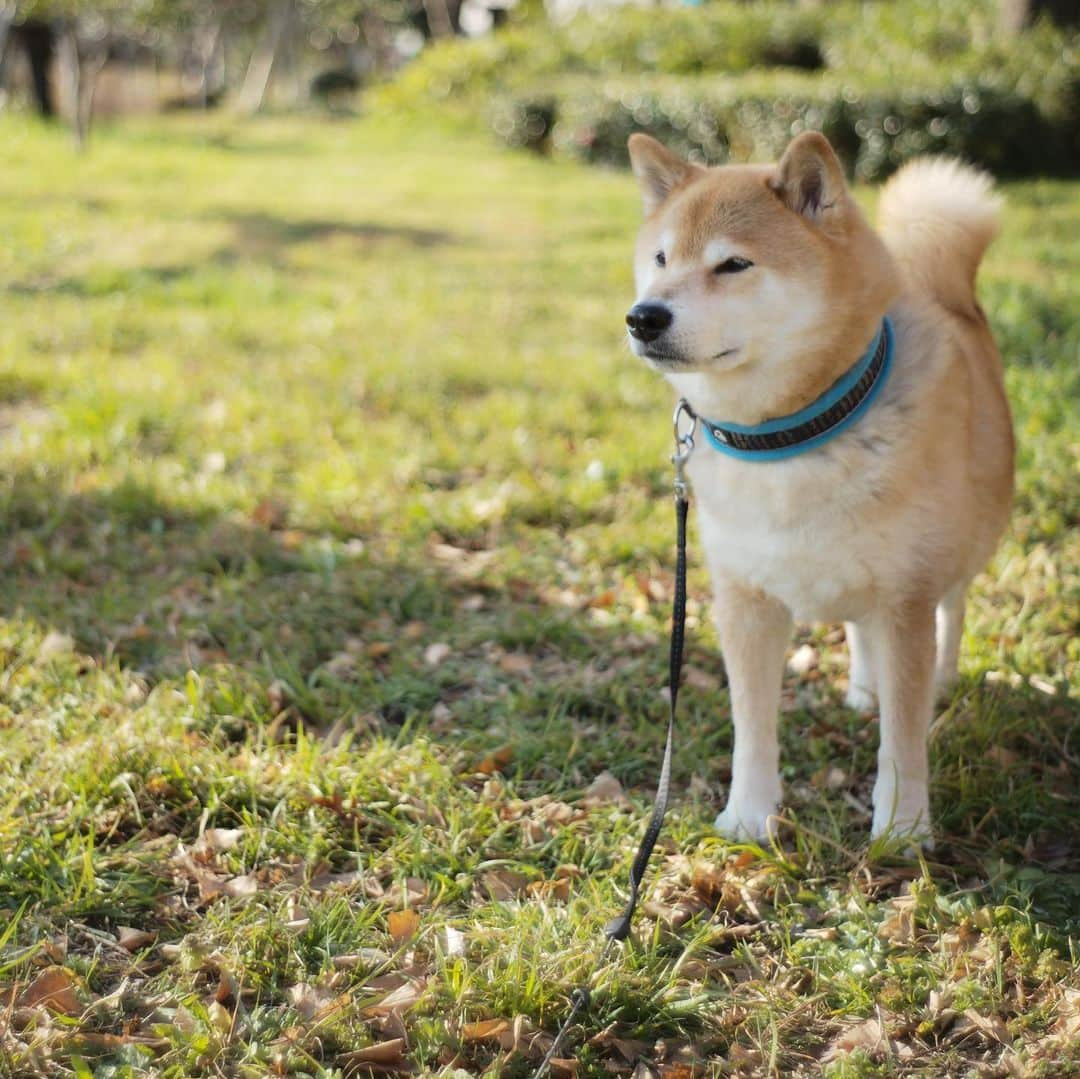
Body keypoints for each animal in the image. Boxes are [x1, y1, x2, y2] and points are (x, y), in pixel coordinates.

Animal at [626, 132, 1010, 842]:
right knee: (860, 629)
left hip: (957, 549)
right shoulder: (745, 600)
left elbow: (903, 737)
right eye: (661, 258)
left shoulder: (906, 599)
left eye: (733, 265)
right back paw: (862, 689)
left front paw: (903, 829)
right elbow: (752, 727)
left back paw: (940, 679)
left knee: (953, 610)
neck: (790, 437)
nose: (644, 317)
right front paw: (748, 816)